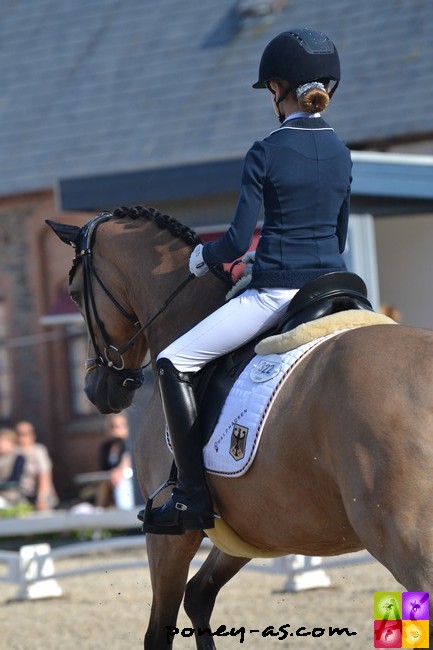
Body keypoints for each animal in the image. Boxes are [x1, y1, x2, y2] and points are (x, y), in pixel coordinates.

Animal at [48, 206, 433, 644]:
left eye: (74, 293)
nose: (95, 389)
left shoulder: (170, 539)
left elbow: (159, 631)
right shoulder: (253, 526)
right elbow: (199, 594)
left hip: (408, 543)